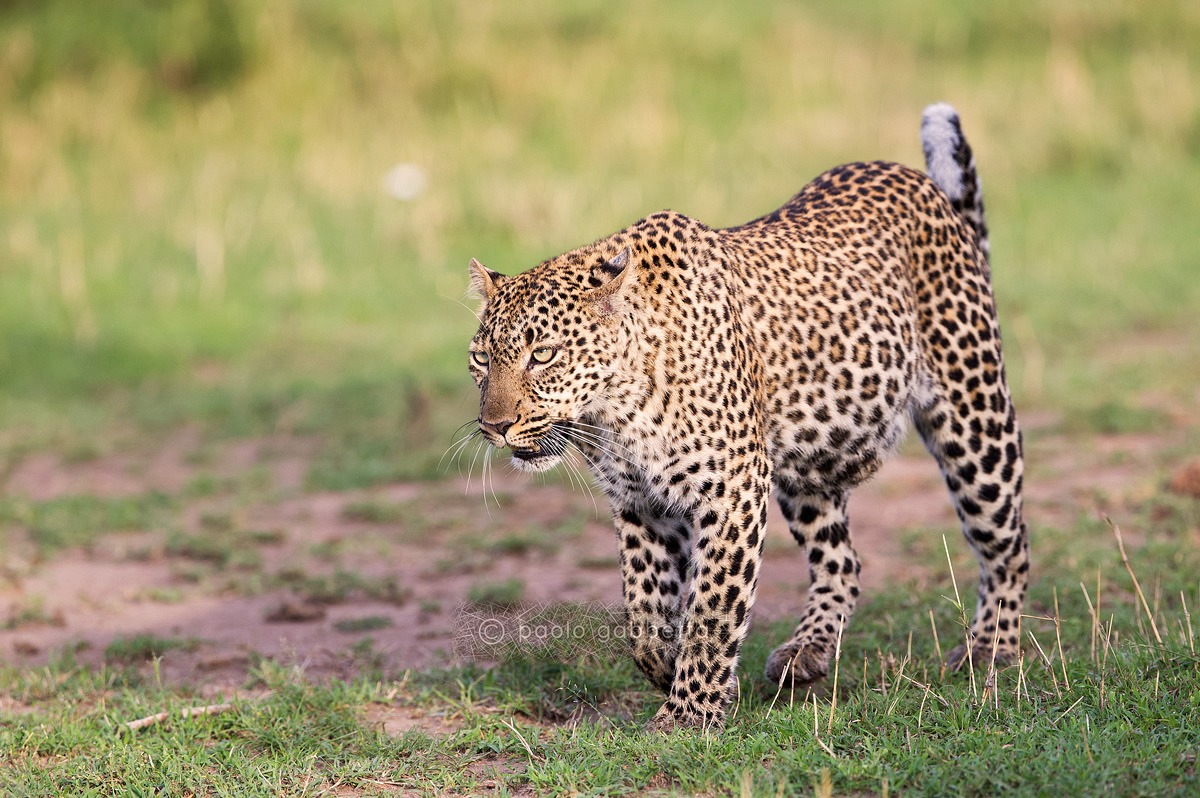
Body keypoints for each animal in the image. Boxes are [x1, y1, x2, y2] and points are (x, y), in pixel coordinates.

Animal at [465, 103, 1029, 731]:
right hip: (805, 467)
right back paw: (807, 652)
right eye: (481, 359)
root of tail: (923, 187)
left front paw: (689, 714)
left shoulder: (731, 486)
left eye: (543, 355)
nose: (495, 426)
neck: (615, 411)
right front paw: (676, 669)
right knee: (843, 561)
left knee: (1008, 545)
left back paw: (990, 650)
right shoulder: (638, 501)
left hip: (974, 419)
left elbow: (713, 607)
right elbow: (643, 614)